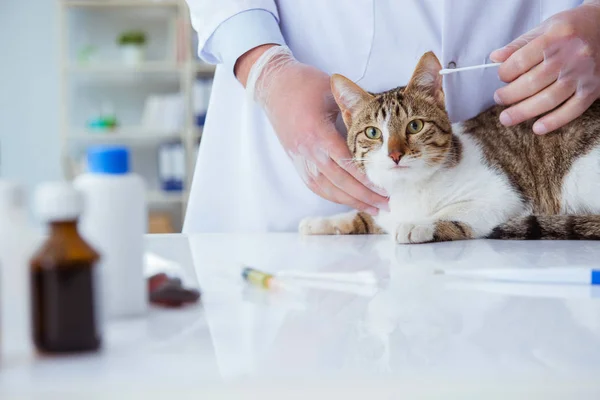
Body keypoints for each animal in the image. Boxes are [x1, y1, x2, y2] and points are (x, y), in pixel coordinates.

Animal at [300, 51, 600, 242]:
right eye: (373, 133)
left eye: (414, 126)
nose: (395, 154)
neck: (409, 190)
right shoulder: (381, 207)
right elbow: (366, 215)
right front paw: (323, 222)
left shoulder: (505, 197)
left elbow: (460, 211)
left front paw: (419, 224)